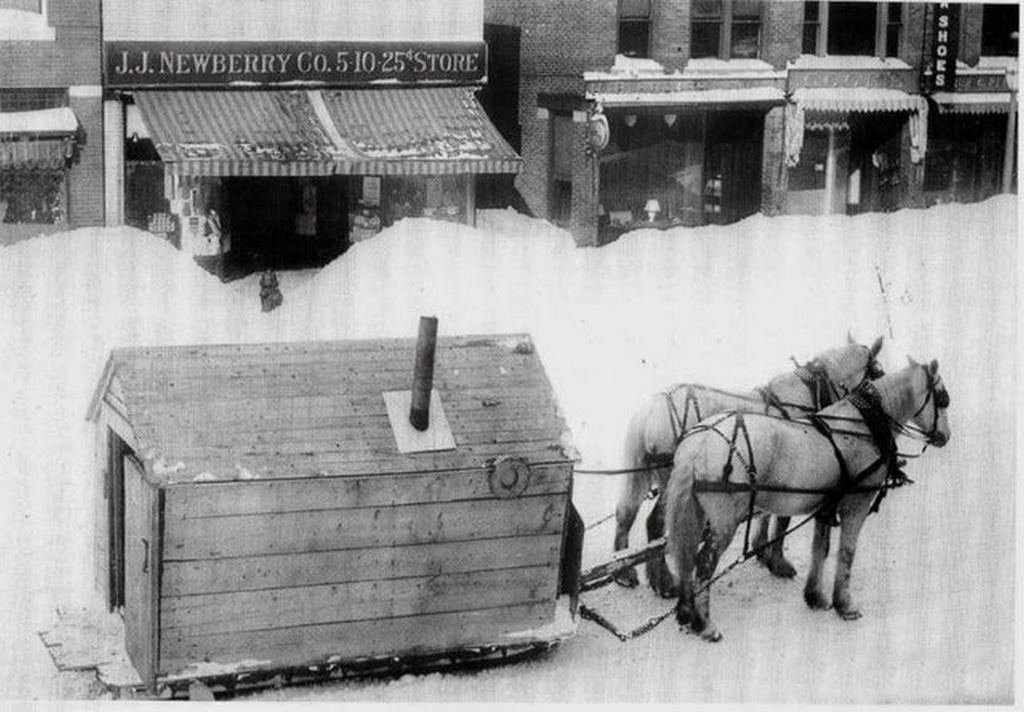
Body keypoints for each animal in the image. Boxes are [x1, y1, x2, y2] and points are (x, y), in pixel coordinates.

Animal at [610, 336, 884, 594]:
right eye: (878, 374)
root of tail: (650, 409)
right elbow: (781, 520)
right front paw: (778, 561)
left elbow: (766, 513)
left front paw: (762, 550)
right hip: (672, 480)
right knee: (655, 523)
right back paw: (664, 581)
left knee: (626, 513)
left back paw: (624, 572)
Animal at [667, 358, 946, 643]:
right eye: (943, 399)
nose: (944, 437)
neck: (861, 427)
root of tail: (698, 443)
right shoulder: (856, 504)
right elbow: (847, 552)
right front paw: (845, 604)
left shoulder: (825, 507)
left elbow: (820, 549)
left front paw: (815, 597)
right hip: (724, 520)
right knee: (704, 563)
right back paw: (705, 624)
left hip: (697, 513)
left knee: (686, 557)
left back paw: (687, 613)